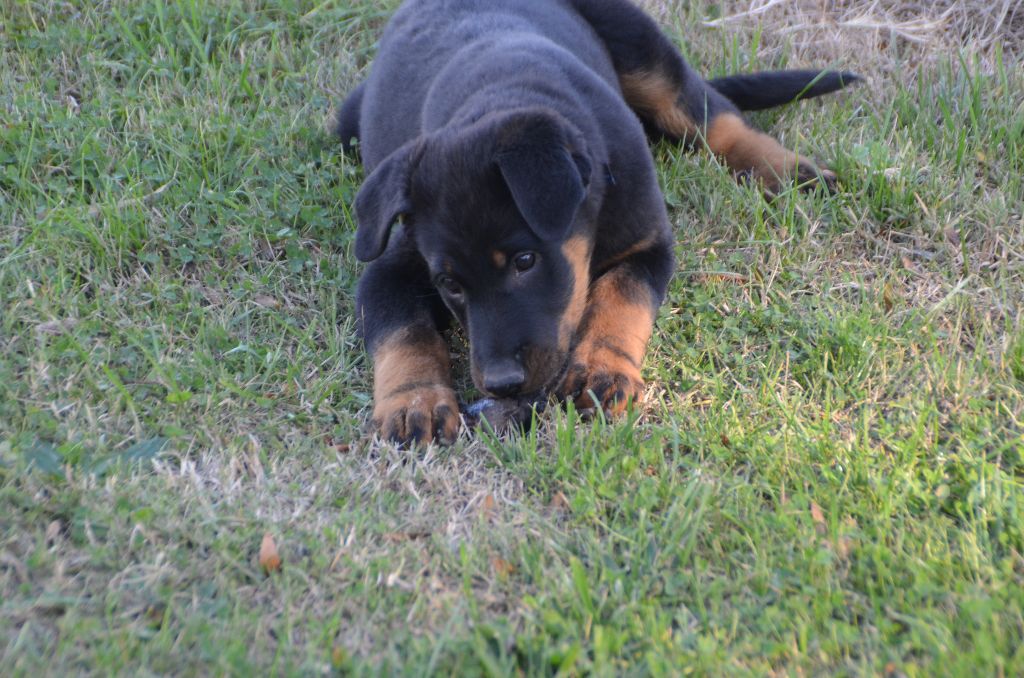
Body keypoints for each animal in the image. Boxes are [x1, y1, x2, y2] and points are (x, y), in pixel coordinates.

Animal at [335, 0, 856, 446]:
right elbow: (403, 331)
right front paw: (415, 400)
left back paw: (792, 172)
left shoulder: (649, 245)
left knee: (714, 118)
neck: (506, 92)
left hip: (646, 53)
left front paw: (602, 369)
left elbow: (621, 297)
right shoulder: (391, 269)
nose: (503, 384)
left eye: (525, 260)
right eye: (449, 284)